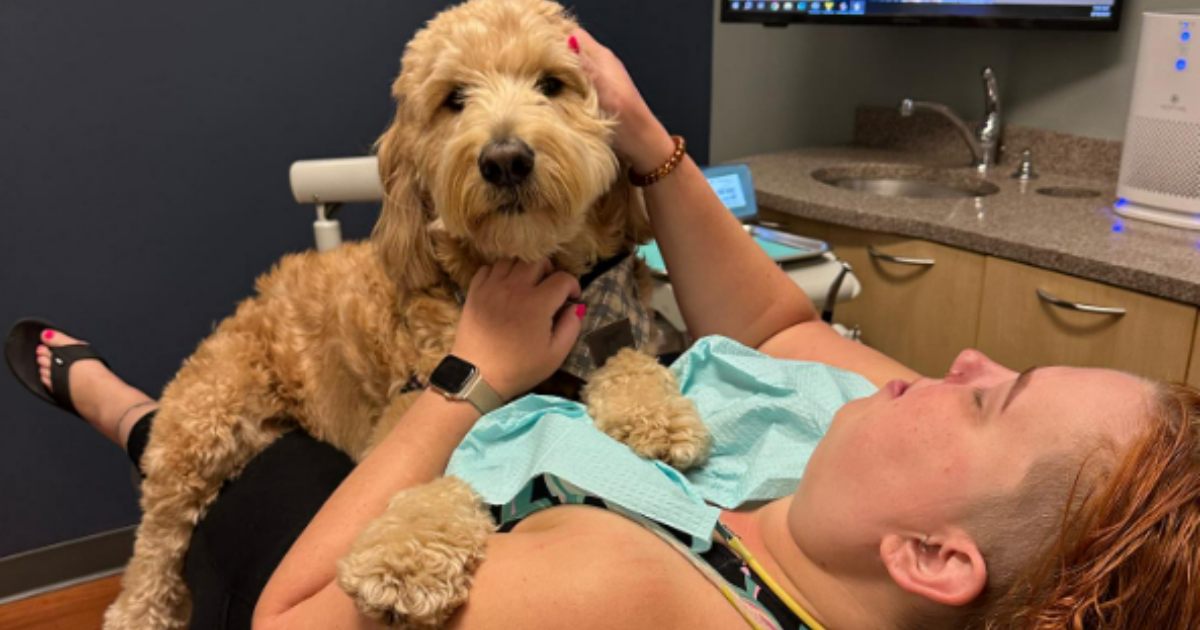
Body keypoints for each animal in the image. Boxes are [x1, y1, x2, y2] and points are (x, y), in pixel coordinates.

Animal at [105, 0, 710, 624]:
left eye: (551, 84)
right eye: (454, 99)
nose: (505, 160)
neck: (533, 266)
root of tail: (248, 304)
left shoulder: (617, 325)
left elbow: (632, 361)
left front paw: (655, 415)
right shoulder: (411, 406)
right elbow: (426, 476)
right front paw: (404, 554)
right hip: (204, 426)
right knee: (157, 539)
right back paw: (139, 610)